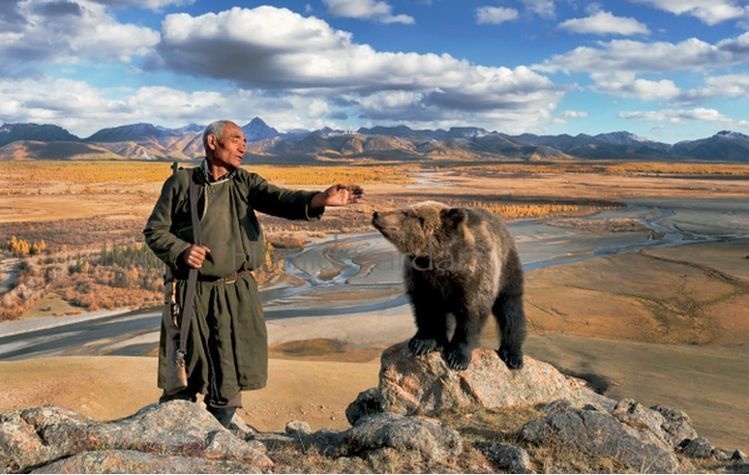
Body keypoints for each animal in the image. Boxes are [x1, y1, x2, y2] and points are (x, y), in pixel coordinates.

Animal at [372, 201, 526, 371]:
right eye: (404, 208)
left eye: (406, 212)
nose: (376, 214)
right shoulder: (422, 279)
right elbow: (426, 309)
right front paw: (422, 343)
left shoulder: (474, 277)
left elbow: (471, 315)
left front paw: (457, 357)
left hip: (507, 269)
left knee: (510, 310)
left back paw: (513, 355)